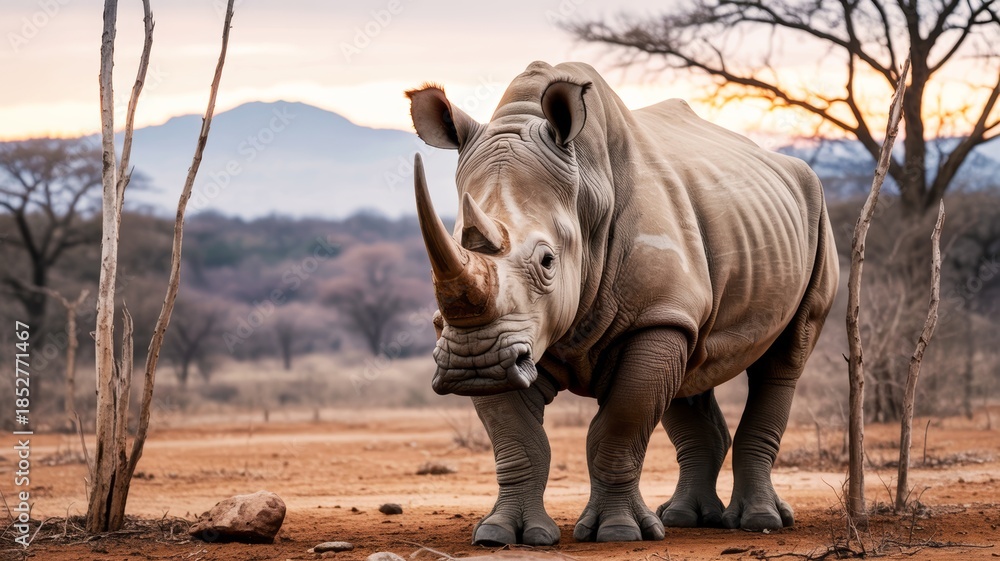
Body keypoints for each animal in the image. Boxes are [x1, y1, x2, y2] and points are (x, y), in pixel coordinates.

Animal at [405, 61, 839, 545]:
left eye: (547, 261)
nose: (473, 361)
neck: (586, 192)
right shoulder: (512, 337)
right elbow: (517, 440)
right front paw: (501, 535)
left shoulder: (651, 318)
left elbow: (621, 424)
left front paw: (618, 533)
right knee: (693, 362)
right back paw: (685, 518)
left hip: (815, 211)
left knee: (784, 358)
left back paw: (757, 522)